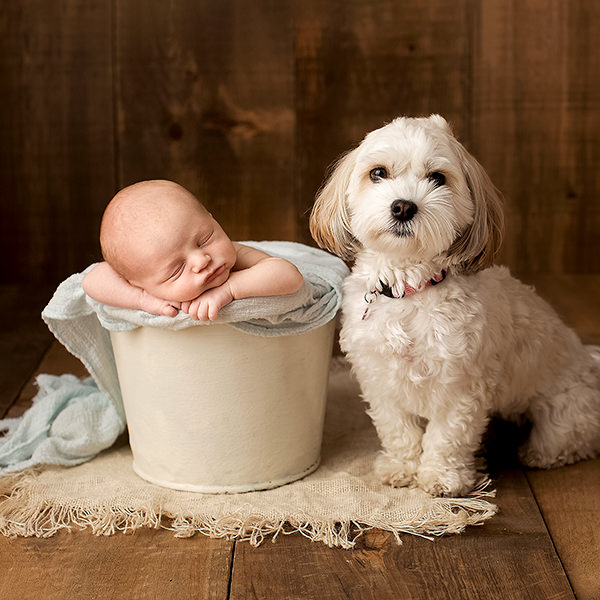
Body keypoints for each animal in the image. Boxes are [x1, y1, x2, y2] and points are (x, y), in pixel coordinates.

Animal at [310, 113, 600, 496]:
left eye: (438, 178)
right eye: (377, 173)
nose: (403, 206)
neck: (410, 288)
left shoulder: (460, 385)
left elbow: (447, 436)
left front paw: (441, 477)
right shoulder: (380, 379)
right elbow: (398, 430)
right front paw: (401, 467)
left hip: (564, 412)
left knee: (569, 438)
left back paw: (537, 453)